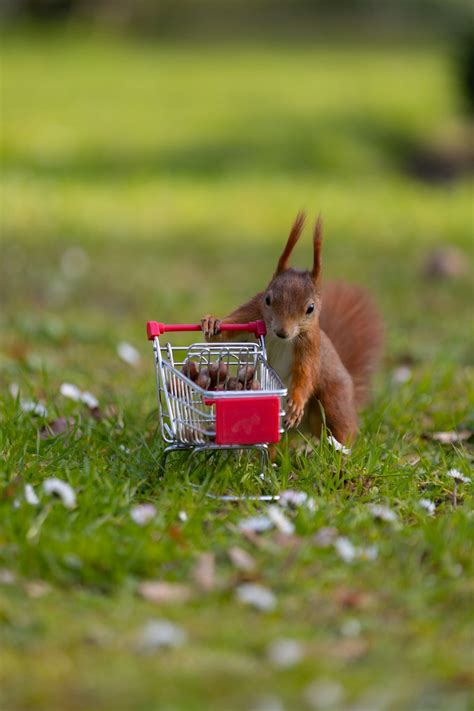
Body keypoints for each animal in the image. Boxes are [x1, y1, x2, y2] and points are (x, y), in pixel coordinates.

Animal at [202, 213, 384, 444]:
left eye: (310, 308)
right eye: (267, 299)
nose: (282, 331)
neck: (279, 339)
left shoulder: (309, 345)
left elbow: (306, 375)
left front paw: (297, 402)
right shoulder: (251, 314)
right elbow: (220, 339)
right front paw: (212, 322)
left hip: (333, 399)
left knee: (343, 427)